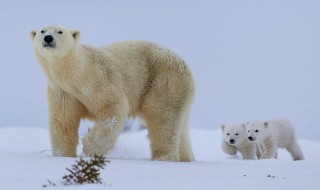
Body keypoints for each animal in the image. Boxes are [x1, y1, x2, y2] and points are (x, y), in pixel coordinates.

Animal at [29, 25, 195, 162]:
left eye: (60, 31)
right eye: (42, 31)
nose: (48, 38)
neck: (74, 73)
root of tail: (185, 66)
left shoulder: (97, 77)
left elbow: (114, 105)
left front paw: (89, 146)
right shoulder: (62, 91)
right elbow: (63, 121)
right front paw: (62, 156)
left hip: (164, 82)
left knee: (163, 119)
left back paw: (163, 158)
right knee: (180, 129)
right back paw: (187, 158)